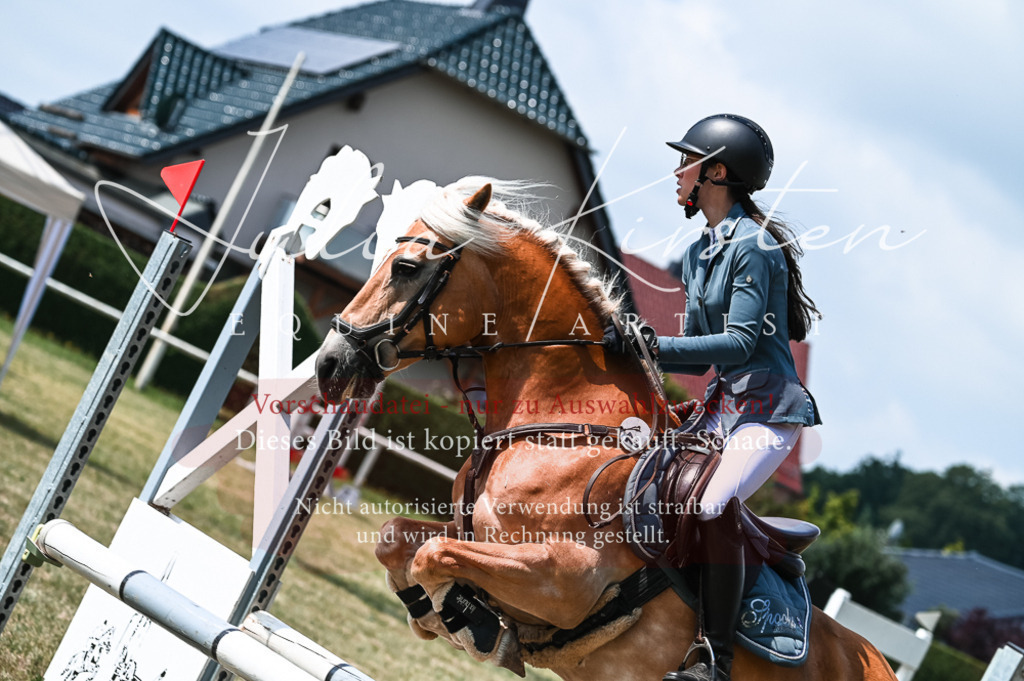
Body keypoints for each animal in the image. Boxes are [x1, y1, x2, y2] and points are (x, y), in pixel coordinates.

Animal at [315, 177, 896, 681]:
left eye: (406, 267)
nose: (329, 364)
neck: (559, 423)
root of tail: (877, 660)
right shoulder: (474, 536)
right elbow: (396, 537)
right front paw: (440, 614)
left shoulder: (563, 580)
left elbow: (434, 555)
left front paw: (475, 624)